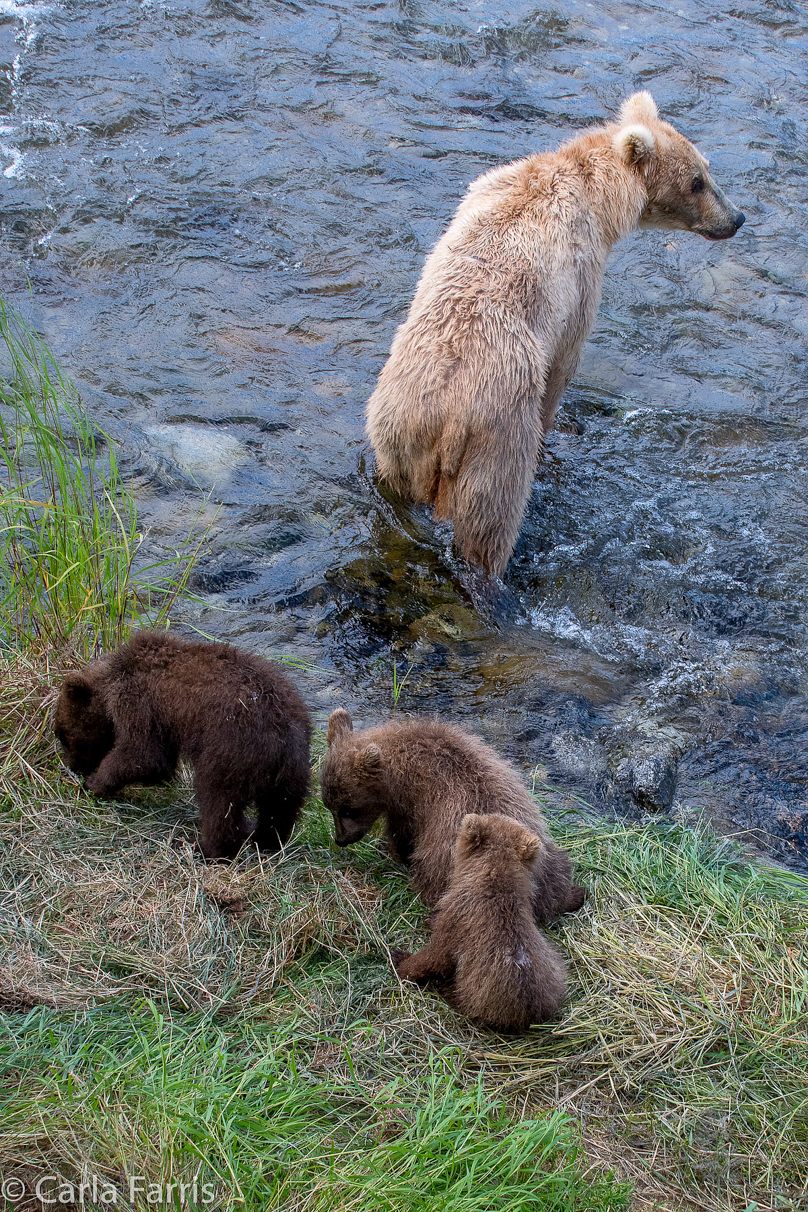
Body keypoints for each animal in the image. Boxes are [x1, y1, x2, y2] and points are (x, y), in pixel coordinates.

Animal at [52, 630, 312, 858]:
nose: (71, 767)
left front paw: (94, 783)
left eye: (61, 734)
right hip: (294, 771)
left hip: (230, 751)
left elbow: (142, 754)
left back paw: (203, 848)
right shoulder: (163, 720)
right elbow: (159, 761)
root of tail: (284, 737)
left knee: (217, 802)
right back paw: (264, 840)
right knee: (279, 811)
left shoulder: (138, 700)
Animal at [319, 707, 583, 921]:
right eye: (329, 805)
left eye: (349, 809)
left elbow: (402, 834)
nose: (340, 839)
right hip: (549, 852)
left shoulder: (414, 806)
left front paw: (392, 851)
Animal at [365, 92, 746, 574]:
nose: (737, 217)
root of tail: (448, 423)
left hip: (396, 430)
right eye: (697, 181)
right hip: (496, 444)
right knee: (490, 526)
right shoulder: (580, 280)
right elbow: (566, 359)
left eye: (706, 168)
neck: (597, 196)